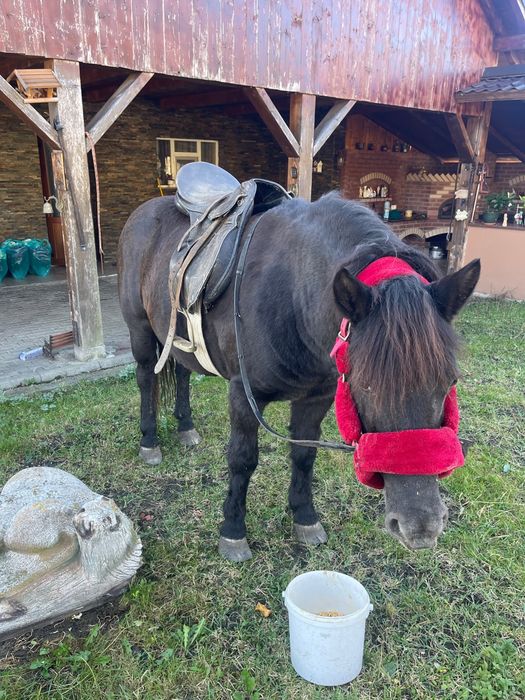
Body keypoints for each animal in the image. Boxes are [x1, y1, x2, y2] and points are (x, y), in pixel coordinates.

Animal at [118, 191, 480, 561]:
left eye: (449, 381)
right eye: (365, 384)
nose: (421, 527)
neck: (293, 293)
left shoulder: (316, 398)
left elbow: (305, 456)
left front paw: (305, 517)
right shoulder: (243, 396)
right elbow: (242, 460)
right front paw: (233, 531)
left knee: (182, 371)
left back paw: (186, 427)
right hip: (140, 330)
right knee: (146, 379)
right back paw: (149, 440)